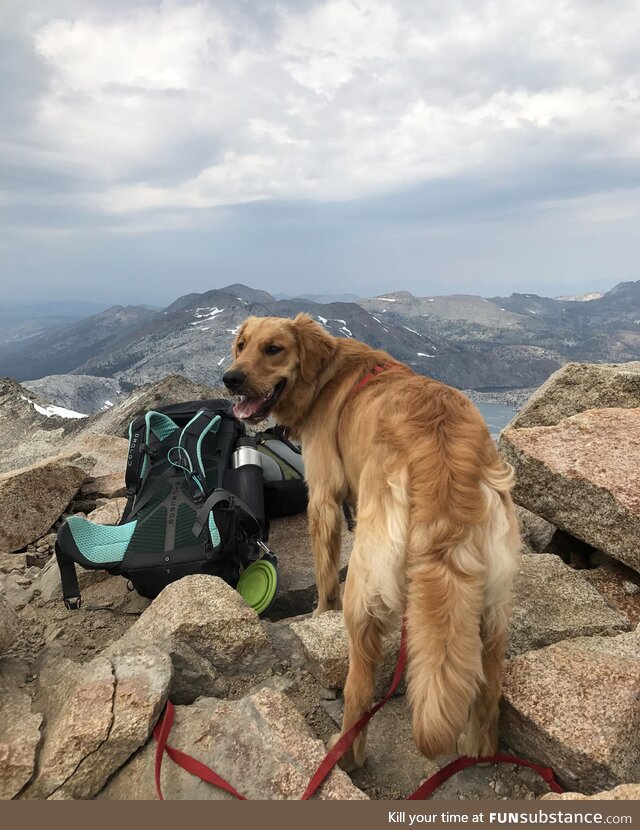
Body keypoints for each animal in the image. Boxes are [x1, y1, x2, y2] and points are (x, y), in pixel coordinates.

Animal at [224, 314, 520, 772]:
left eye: (273, 349)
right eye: (241, 345)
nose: (230, 379)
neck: (327, 375)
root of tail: (443, 462)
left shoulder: (323, 498)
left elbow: (326, 576)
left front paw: (318, 614)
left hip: (365, 585)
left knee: (359, 688)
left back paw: (345, 754)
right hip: (492, 602)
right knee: (488, 683)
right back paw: (478, 747)